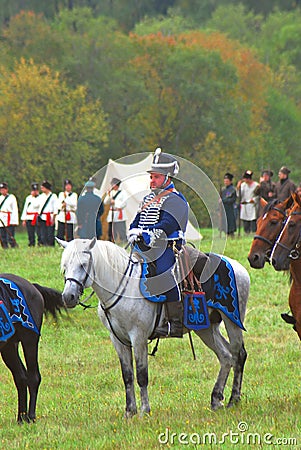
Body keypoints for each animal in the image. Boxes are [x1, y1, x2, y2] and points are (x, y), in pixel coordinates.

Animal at [0, 272, 64, 424]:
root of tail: (32, 286)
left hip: (29, 341)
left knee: (33, 377)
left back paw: (30, 416)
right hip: (9, 346)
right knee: (21, 378)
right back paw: (21, 417)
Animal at [57, 237, 250, 416]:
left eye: (83, 265)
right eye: (65, 266)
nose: (68, 297)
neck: (123, 285)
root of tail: (239, 267)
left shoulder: (139, 337)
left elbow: (142, 376)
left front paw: (144, 410)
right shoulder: (118, 340)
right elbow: (127, 376)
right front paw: (130, 411)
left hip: (232, 321)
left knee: (238, 354)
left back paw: (234, 399)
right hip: (205, 328)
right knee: (226, 356)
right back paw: (216, 399)